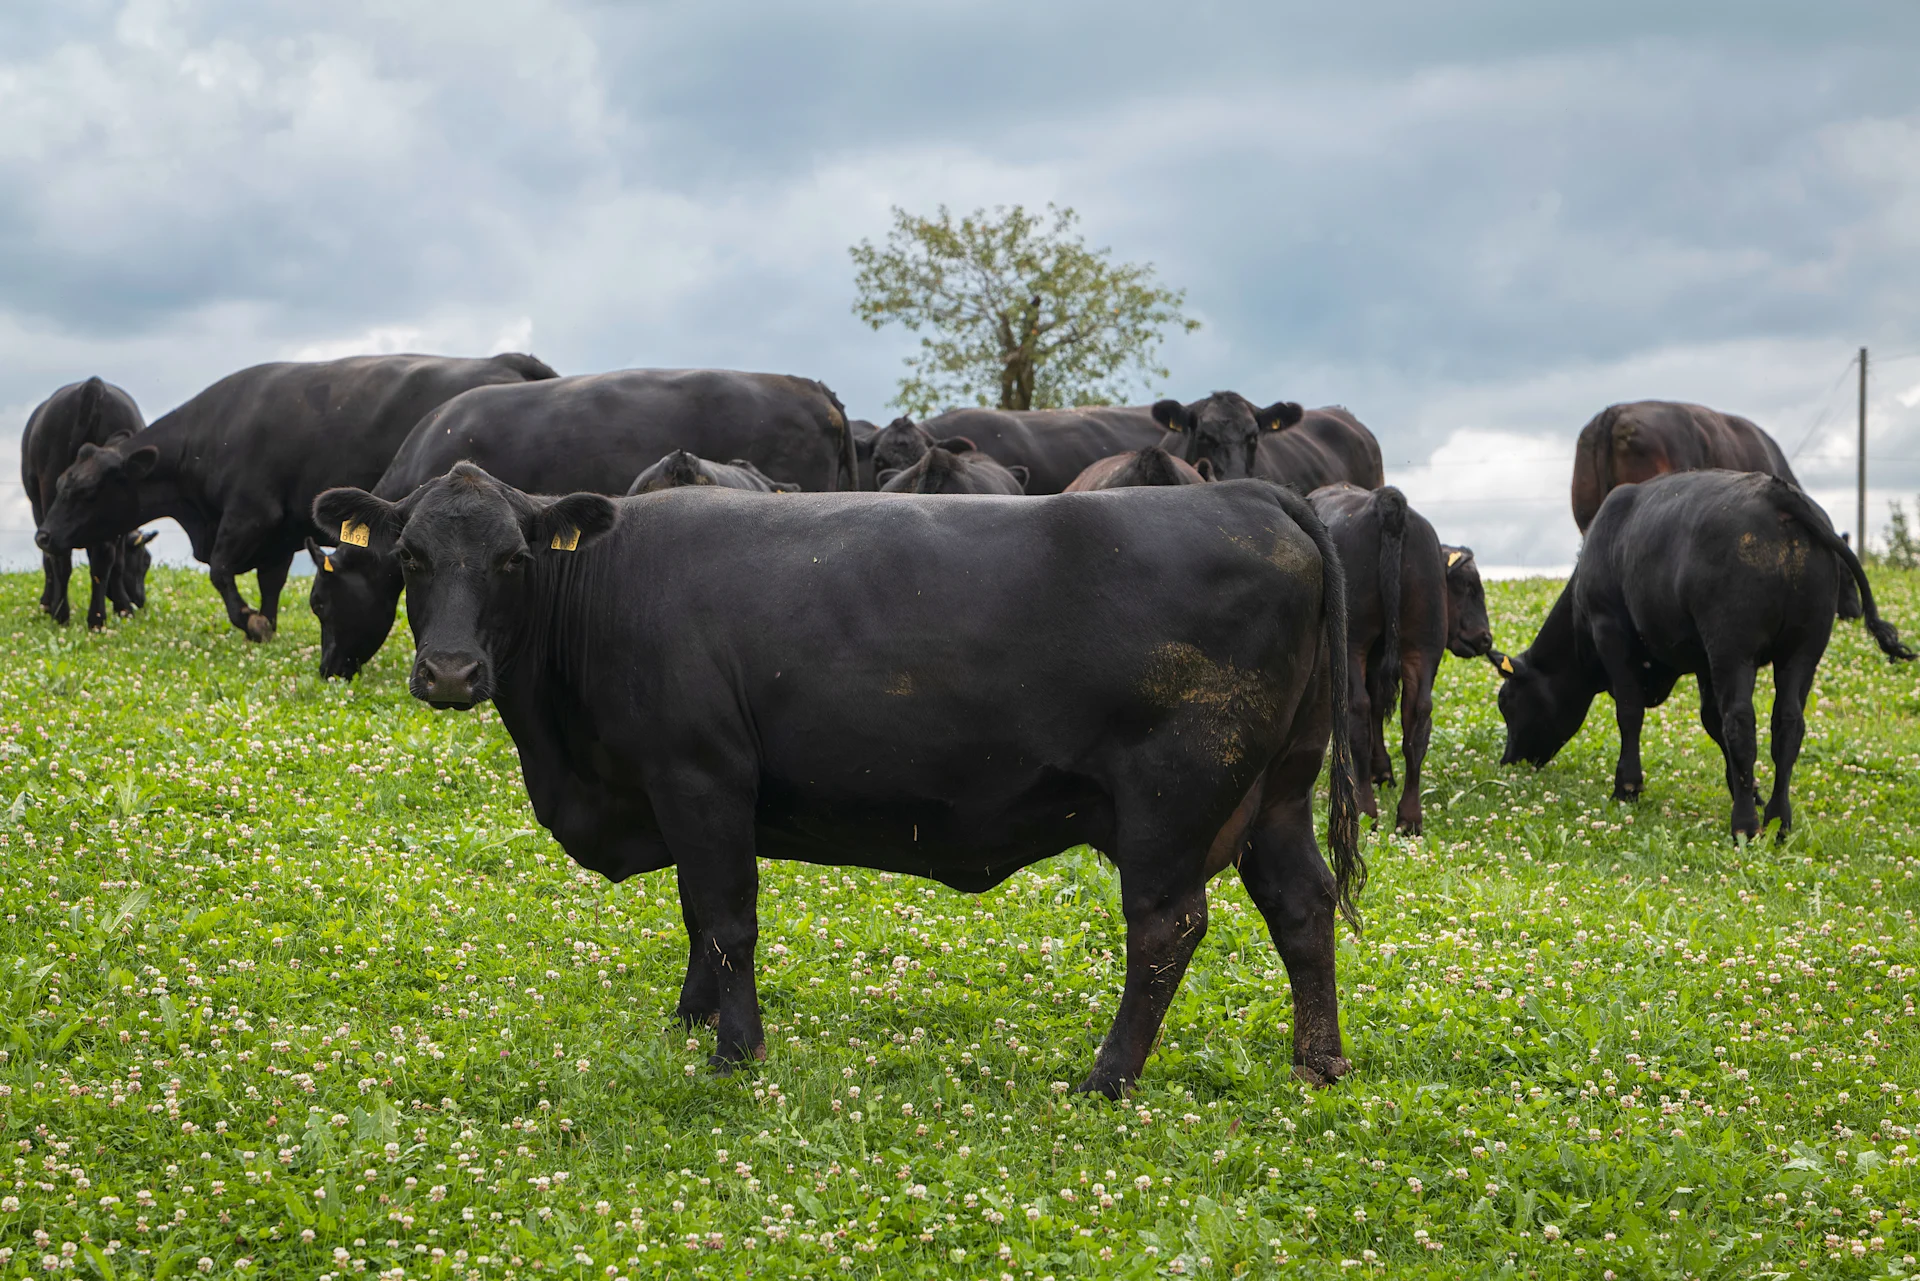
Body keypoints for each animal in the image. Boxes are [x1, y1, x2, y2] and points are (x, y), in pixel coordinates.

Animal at [21, 377, 154, 629]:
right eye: (145, 562)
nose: (141, 600)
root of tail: (93, 385)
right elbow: (117, 563)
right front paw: (123, 607)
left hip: (49, 490)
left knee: (62, 557)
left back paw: (65, 615)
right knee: (101, 556)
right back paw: (95, 618)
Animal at [35, 353, 558, 642]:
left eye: (86, 490)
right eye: (59, 484)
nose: (43, 535)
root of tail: (509, 360)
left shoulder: (251, 514)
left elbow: (220, 570)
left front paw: (249, 622)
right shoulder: (280, 531)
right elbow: (271, 583)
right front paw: (265, 622)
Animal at [313, 465, 1365, 1094]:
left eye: (511, 557)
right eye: (410, 555)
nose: (451, 671)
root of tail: (1256, 494)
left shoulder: (701, 775)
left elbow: (725, 913)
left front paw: (735, 1050)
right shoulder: (679, 793)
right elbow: (697, 915)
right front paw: (691, 1018)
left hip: (1173, 796)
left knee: (1166, 926)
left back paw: (1106, 1076)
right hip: (1278, 791)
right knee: (1302, 904)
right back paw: (1319, 1063)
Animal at [1310, 483, 1459, 835]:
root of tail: (1388, 506)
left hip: (1352, 640)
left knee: (1358, 712)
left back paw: (1366, 808)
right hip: (1424, 641)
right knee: (1416, 718)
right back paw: (1410, 816)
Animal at [1493, 470, 1913, 839]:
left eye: (1508, 703)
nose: (1509, 761)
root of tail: (1778, 493)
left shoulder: (1610, 630)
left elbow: (1630, 713)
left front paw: (1627, 787)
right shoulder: (1704, 661)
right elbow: (1711, 720)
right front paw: (1748, 788)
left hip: (1733, 646)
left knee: (1741, 723)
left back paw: (1744, 824)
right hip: (1802, 649)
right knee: (1787, 724)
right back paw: (1778, 820)